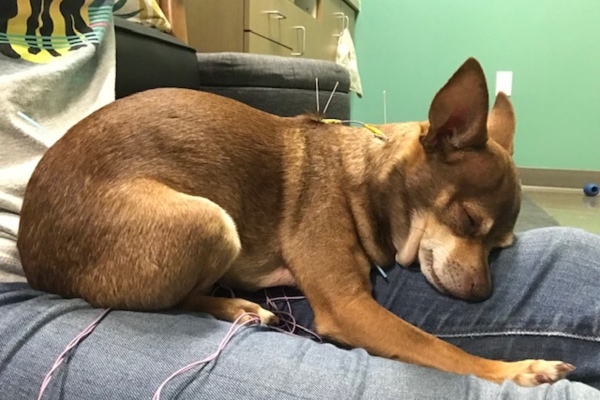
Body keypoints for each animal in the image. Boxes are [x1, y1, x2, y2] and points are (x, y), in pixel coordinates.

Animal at [18, 57, 572, 386]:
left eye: (502, 245)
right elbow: (441, 349)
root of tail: (35, 263)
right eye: (468, 221)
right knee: (170, 302)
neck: (363, 182)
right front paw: (522, 368)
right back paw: (241, 306)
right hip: (210, 220)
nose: (483, 295)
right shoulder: (348, 307)